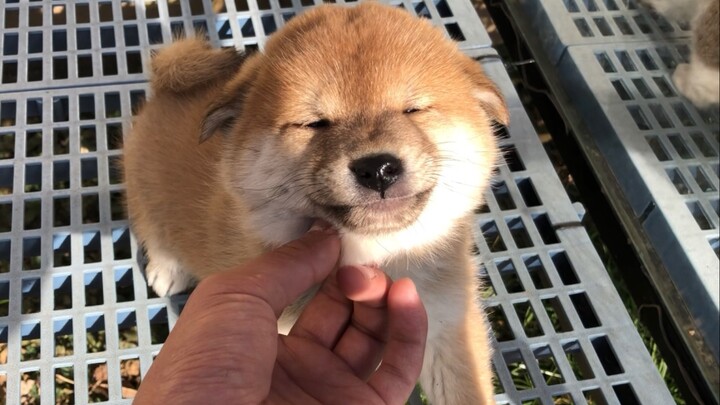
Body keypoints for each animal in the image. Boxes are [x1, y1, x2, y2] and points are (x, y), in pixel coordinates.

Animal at [124, 2, 506, 400]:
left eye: (414, 110)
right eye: (314, 123)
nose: (378, 169)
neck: (374, 253)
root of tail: (167, 88)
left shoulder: (449, 324)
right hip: (143, 186)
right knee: (153, 227)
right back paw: (167, 269)